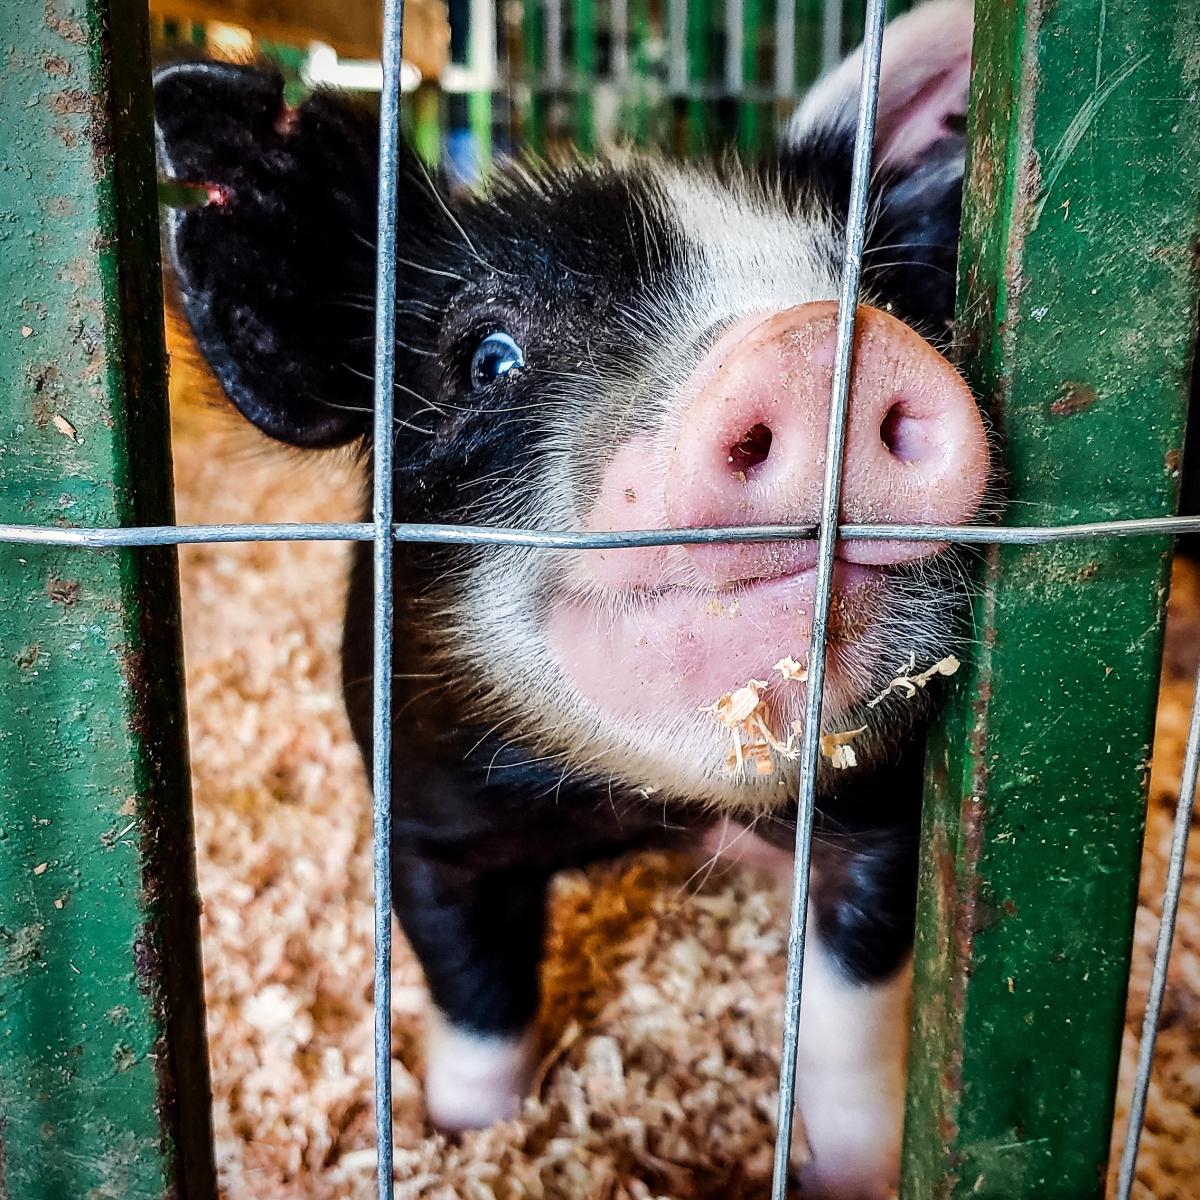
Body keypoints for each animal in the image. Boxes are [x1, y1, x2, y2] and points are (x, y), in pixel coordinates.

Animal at [152, 4, 984, 1195]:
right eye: (487, 356)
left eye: (889, 297)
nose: (815, 342)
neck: (650, 806)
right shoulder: (421, 813)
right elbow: (478, 1003)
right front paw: (466, 1140)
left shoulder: (883, 815)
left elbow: (849, 1020)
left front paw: (859, 1170)